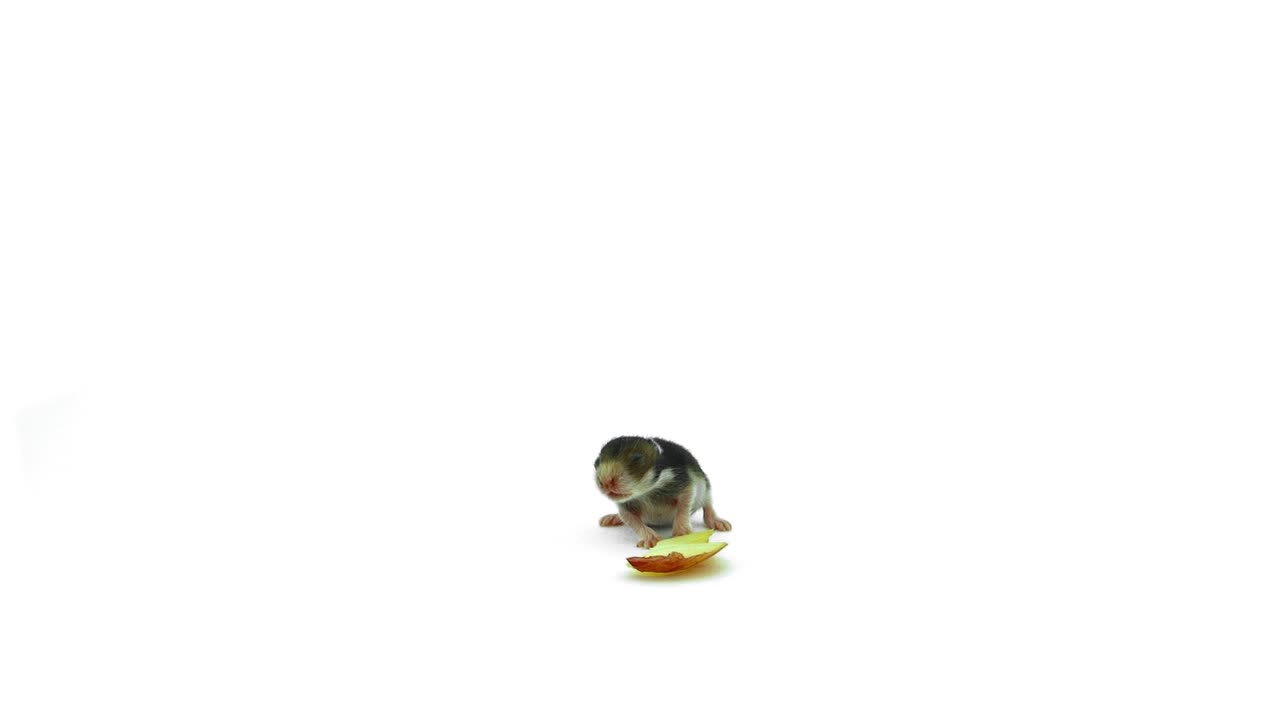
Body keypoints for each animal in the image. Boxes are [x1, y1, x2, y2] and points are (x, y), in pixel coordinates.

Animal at [594, 436, 732, 548]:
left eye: (637, 459)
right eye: (597, 462)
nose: (605, 482)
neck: (647, 492)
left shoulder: (684, 480)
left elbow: (685, 502)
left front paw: (682, 533)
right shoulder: (625, 504)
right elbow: (630, 519)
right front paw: (650, 538)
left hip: (705, 485)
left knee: (707, 503)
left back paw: (717, 521)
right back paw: (612, 518)